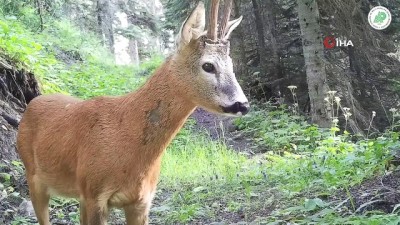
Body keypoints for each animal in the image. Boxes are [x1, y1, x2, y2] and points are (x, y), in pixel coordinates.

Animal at [17, 0, 250, 224]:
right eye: (208, 66)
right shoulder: (94, 194)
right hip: (33, 175)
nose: (243, 105)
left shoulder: (141, 201)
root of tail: (34, 100)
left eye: (231, 64)